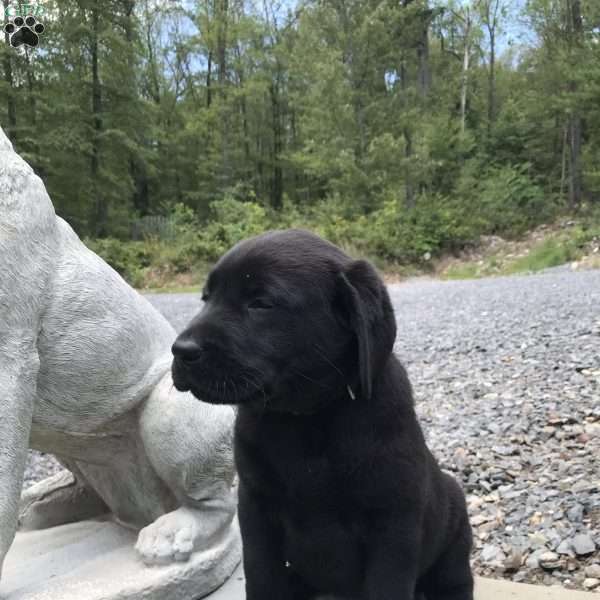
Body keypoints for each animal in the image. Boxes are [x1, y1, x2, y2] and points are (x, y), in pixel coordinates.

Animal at [172, 231, 474, 600]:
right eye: (206, 298)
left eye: (261, 303)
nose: (181, 350)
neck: (306, 417)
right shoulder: (256, 509)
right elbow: (261, 576)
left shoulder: (393, 523)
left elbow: (387, 585)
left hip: (455, 533)